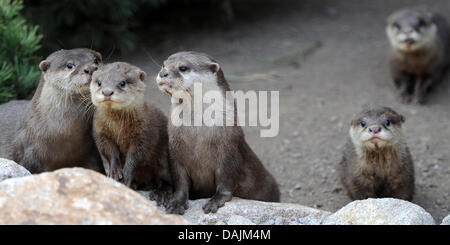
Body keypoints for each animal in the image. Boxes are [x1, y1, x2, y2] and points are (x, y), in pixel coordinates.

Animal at [90, 61, 171, 205]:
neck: (119, 128)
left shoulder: (145, 133)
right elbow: (108, 150)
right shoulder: (100, 132)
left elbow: (137, 155)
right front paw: (114, 171)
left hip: (164, 158)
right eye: (99, 82)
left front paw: (126, 175)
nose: (107, 92)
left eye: (122, 82)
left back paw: (162, 193)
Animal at [156, 50, 280, 213]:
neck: (197, 134)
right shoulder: (175, 152)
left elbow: (226, 179)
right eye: (163, 64)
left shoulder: (228, 150)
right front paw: (177, 202)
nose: (162, 73)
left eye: (183, 68)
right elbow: (180, 181)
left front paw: (216, 200)